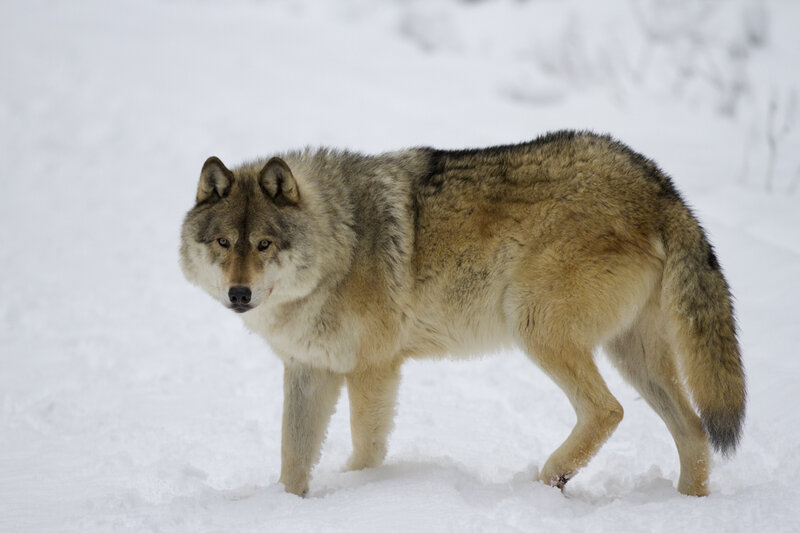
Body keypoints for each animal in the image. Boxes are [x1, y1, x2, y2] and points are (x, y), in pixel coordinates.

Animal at [180, 131, 745, 497]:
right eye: (224, 243)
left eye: (264, 244)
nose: (238, 294)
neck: (341, 240)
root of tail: (659, 185)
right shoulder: (307, 369)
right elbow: (292, 458)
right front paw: (286, 506)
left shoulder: (374, 368)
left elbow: (367, 447)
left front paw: (362, 489)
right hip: (631, 355)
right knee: (694, 433)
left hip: (534, 326)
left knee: (609, 411)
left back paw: (548, 482)